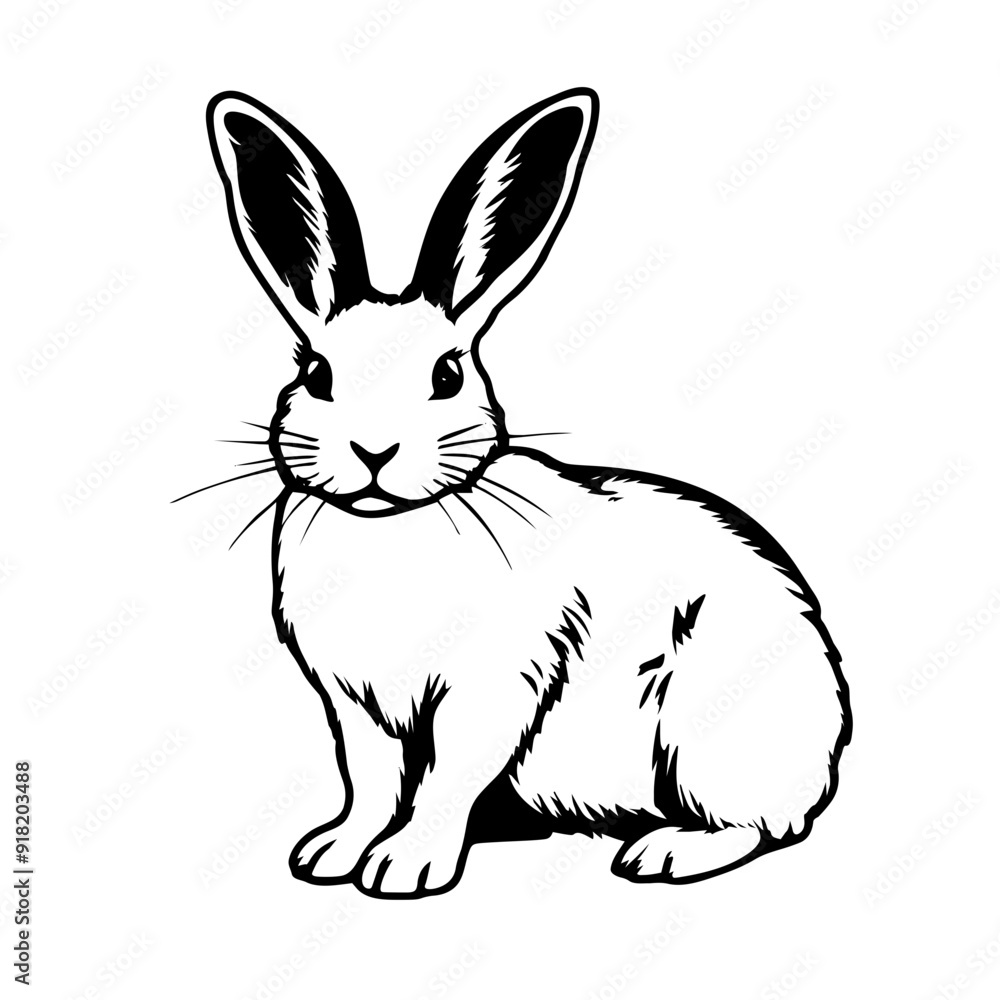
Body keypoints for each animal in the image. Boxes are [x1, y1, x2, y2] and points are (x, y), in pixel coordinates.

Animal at [206, 87, 851, 899]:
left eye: (448, 375)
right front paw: (332, 854)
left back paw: (664, 852)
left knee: (759, 826)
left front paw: (403, 868)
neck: (394, 524)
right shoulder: (354, 704)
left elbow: (445, 777)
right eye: (316, 375)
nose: (374, 451)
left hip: (704, 729)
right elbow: (370, 780)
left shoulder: (494, 685)